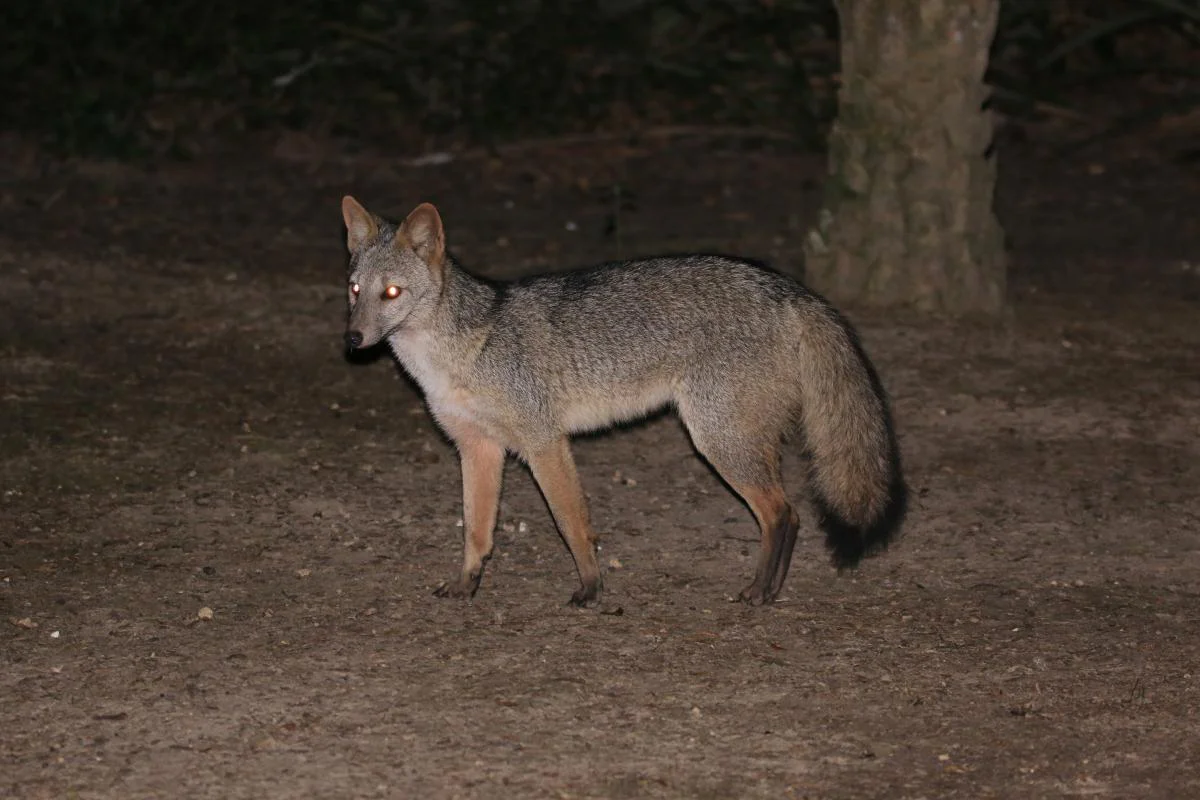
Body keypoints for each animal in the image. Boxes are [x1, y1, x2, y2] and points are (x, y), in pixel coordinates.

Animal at [340, 196, 907, 607]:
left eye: (392, 293)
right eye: (355, 290)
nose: (352, 339)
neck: (456, 354)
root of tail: (789, 288)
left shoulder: (545, 443)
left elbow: (572, 524)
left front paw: (591, 589)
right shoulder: (477, 448)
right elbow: (476, 531)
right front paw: (467, 584)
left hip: (719, 442)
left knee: (783, 514)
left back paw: (759, 593)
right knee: (787, 514)